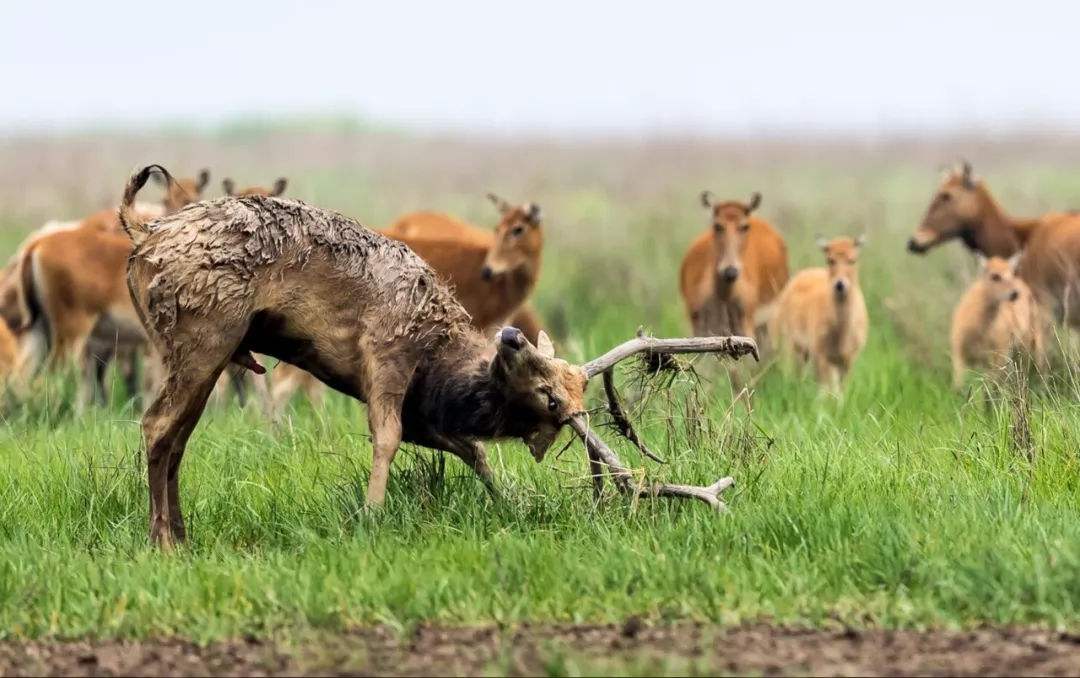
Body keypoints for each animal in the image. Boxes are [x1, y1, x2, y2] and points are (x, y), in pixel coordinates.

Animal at [120, 167, 760, 548]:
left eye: (556, 395)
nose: (511, 336)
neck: (439, 357)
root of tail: (142, 232)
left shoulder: (424, 410)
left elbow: (469, 450)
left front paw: (510, 501)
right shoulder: (385, 354)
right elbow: (386, 437)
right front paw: (372, 514)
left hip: (207, 350)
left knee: (175, 434)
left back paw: (179, 534)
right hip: (204, 337)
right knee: (155, 424)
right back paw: (161, 540)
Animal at [773, 235, 872, 392]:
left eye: (852, 259)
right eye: (830, 259)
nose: (840, 284)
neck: (841, 336)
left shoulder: (850, 356)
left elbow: (842, 389)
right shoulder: (821, 353)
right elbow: (827, 388)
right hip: (793, 343)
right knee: (795, 372)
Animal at [954, 252, 1045, 386]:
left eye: (1011, 273)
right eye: (994, 276)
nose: (1014, 293)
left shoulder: (998, 355)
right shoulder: (958, 352)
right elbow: (958, 385)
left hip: (1030, 340)